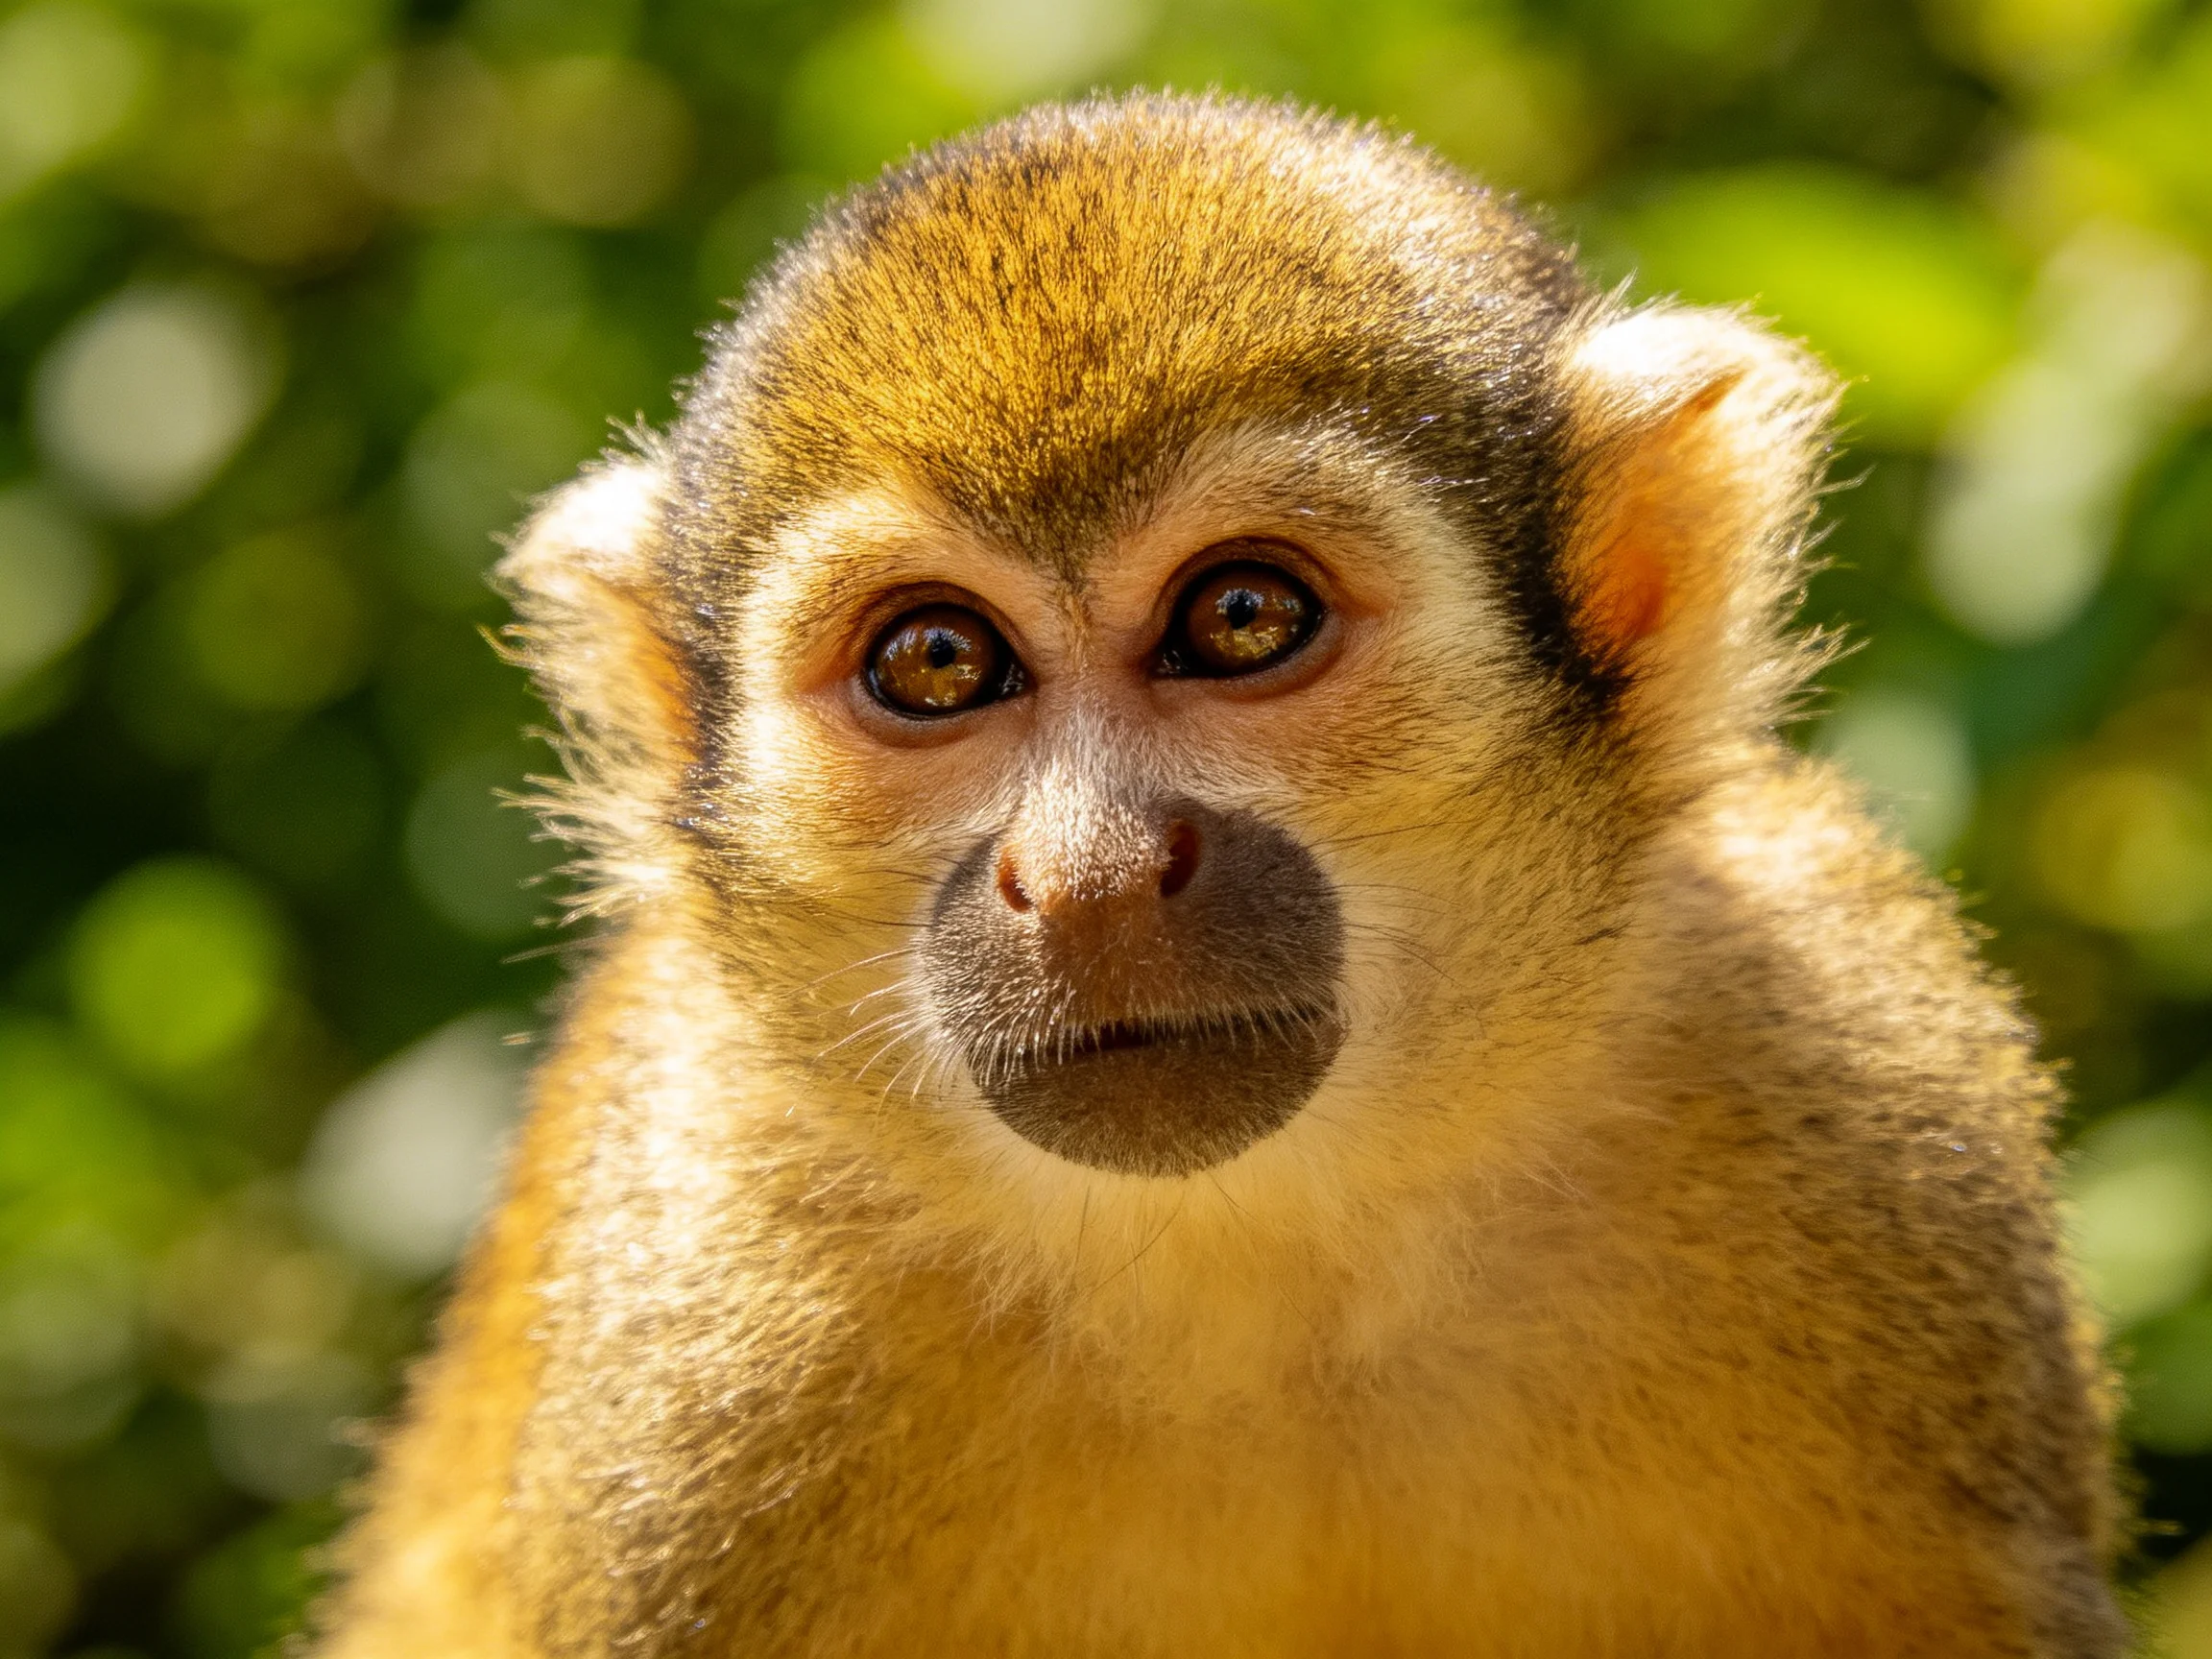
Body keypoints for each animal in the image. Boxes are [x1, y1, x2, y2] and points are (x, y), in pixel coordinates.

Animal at [312, 93, 2128, 1657]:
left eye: (1242, 618)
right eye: (934, 663)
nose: (1088, 872)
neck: (1265, 1259)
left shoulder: (1864, 1102)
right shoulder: (691, 1304)